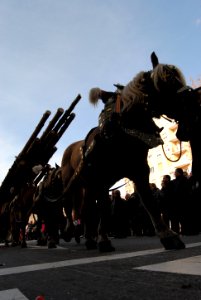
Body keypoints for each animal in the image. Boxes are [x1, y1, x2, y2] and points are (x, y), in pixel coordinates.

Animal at [60, 52, 188, 252]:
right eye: (164, 82)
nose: (191, 100)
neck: (120, 133)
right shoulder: (102, 180)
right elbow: (103, 208)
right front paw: (103, 239)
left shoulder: (139, 172)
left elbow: (149, 203)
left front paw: (168, 237)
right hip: (72, 183)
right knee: (69, 206)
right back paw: (69, 232)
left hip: (88, 185)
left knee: (86, 209)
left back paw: (88, 238)